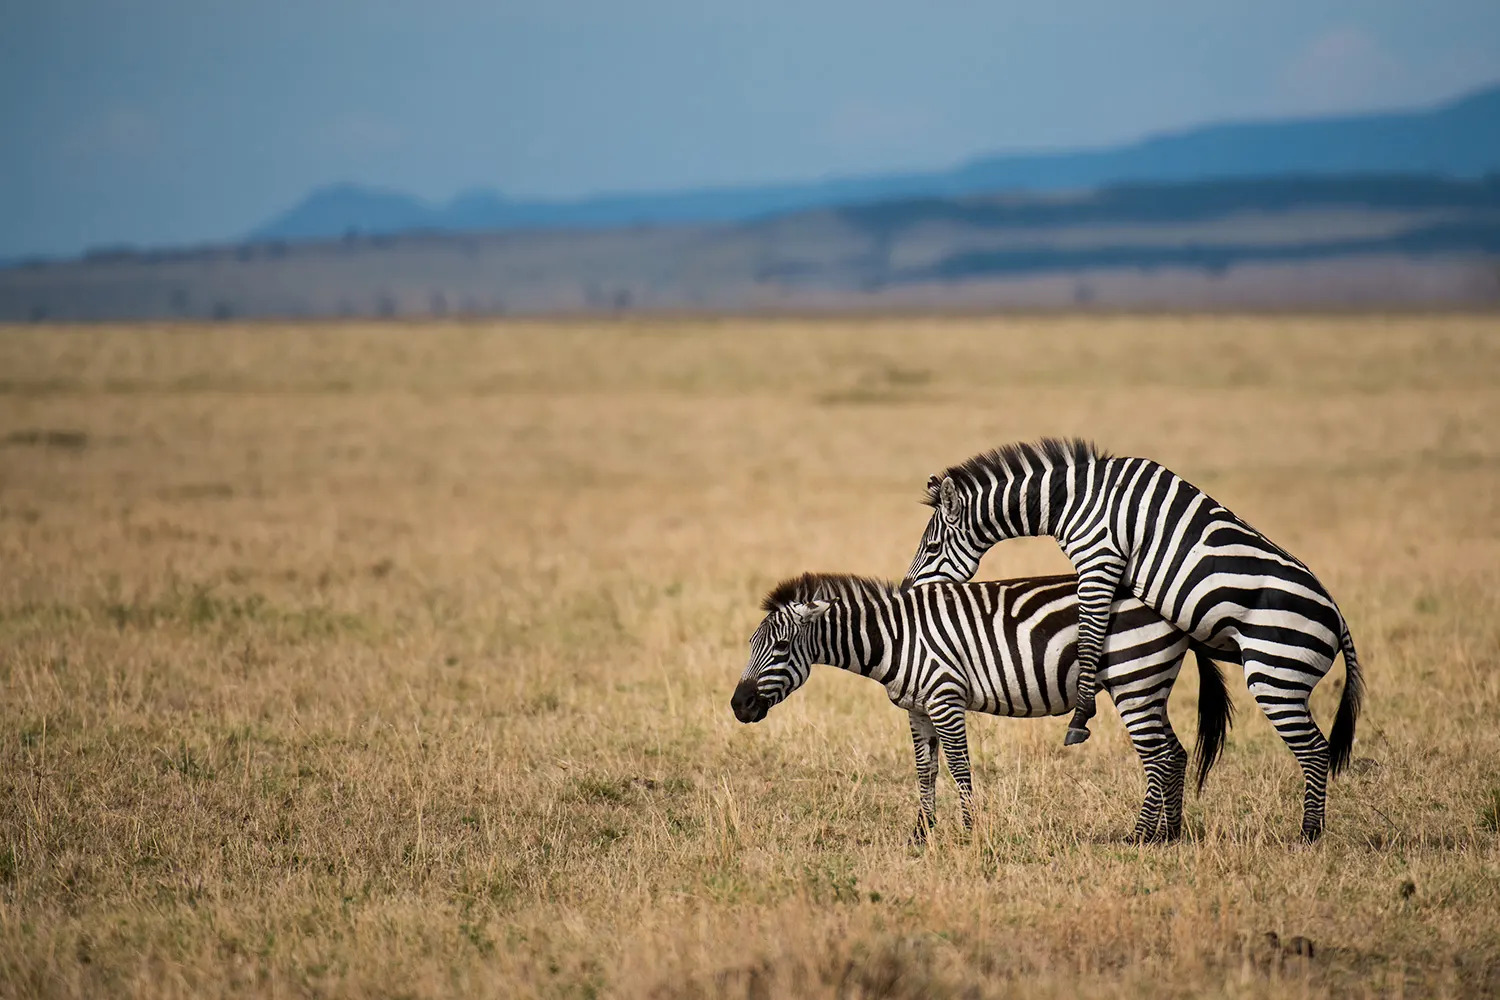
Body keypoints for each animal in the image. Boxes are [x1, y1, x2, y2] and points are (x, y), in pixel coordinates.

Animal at [726, 569, 1230, 845]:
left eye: (782, 647)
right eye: (749, 644)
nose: (738, 706)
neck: (896, 639)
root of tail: (1173, 609)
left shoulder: (945, 698)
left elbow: (959, 767)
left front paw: (969, 832)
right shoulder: (917, 708)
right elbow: (925, 770)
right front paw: (922, 833)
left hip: (1133, 678)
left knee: (1158, 757)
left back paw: (1140, 838)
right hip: (1150, 684)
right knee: (1175, 753)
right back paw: (1170, 836)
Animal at [894, 440, 1368, 839]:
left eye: (931, 548)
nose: (908, 593)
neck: (1075, 497)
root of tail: (1340, 619)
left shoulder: (1099, 558)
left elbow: (1090, 633)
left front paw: (1081, 713)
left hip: (1276, 673)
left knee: (1315, 750)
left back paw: (1308, 834)